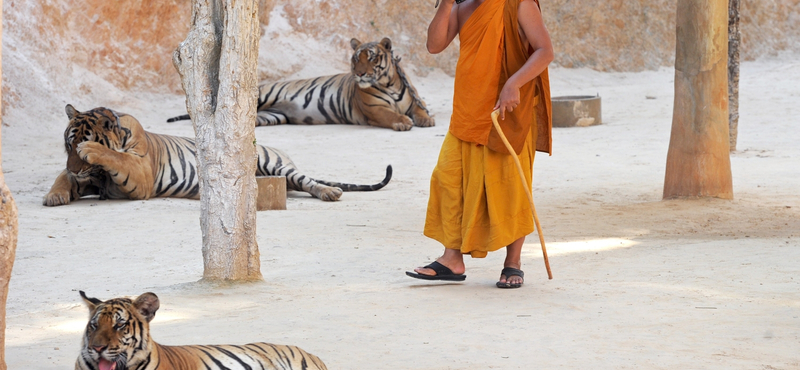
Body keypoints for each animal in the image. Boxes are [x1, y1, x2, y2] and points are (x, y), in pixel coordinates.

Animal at [43, 105, 394, 207]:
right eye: (66, 146)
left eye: (79, 147)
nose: (77, 168)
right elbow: (61, 176)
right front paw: (55, 195)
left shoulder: (138, 175)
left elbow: (116, 158)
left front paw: (94, 151)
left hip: (276, 163)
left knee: (308, 181)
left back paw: (330, 192)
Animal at [165, 37, 434, 132]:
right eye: (356, 58)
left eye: (372, 57)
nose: (359, 74)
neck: (389, 84)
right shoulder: (374, 109)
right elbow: (390, 115)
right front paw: (403, 122)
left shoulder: (414, 100)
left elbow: (420, 109)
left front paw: (426, 120)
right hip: (261, 97)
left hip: (271, 116)